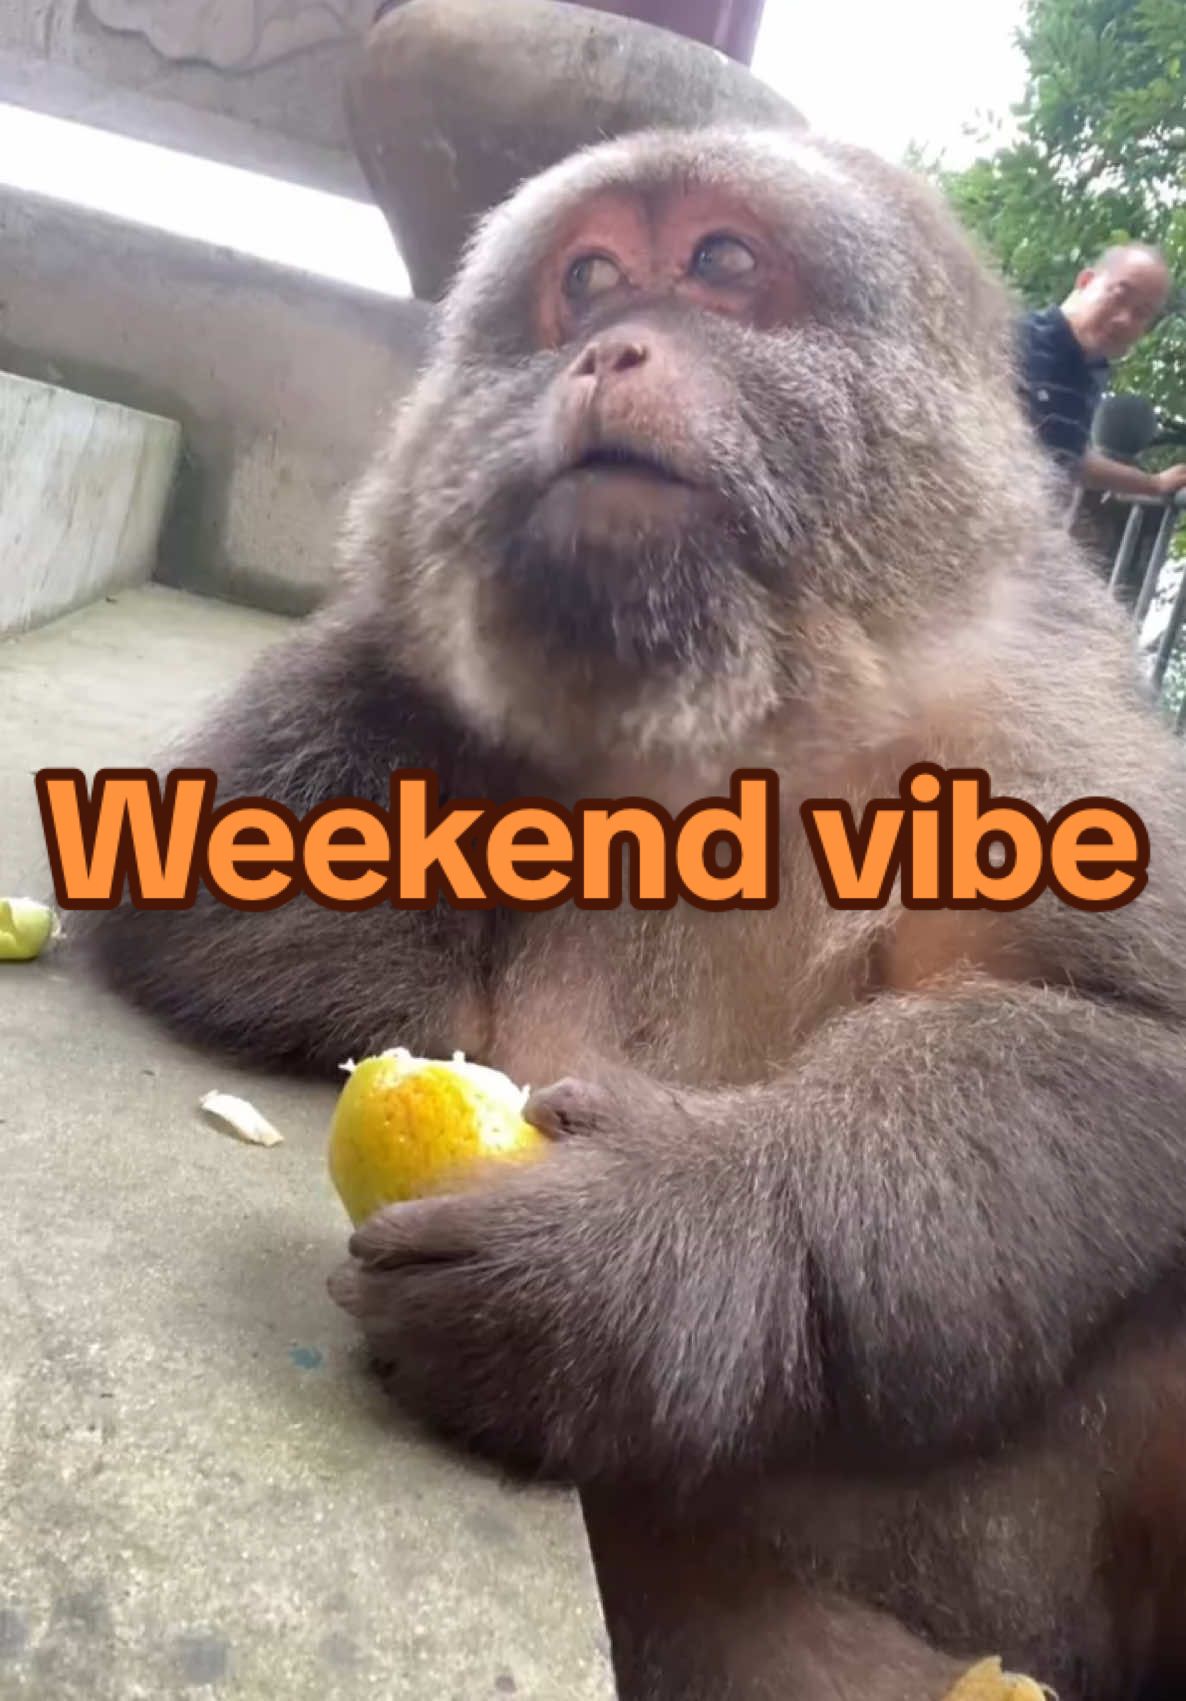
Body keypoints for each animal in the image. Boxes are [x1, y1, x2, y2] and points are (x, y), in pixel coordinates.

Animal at [78, 125, 1186, 1701]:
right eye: (589, 278)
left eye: (720, 261)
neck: (731, 708)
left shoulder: (1025, 691)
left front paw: (655, 1239)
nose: (607, 347)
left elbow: (1114, 1028)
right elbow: (213, 891)